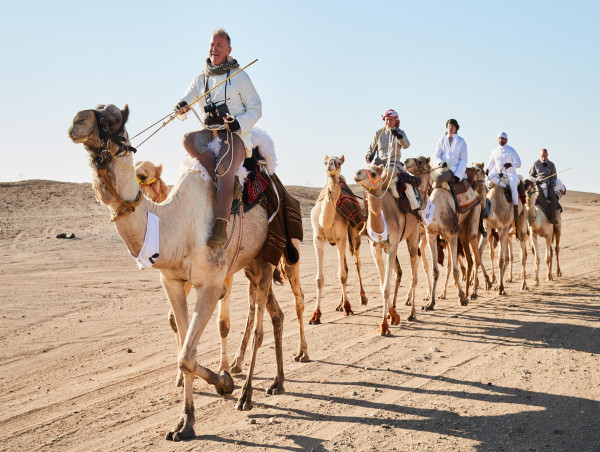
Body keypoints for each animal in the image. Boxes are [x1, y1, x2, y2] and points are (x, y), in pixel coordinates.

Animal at [68, 104, 300, 440]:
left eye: (111, 120)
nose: (76, 122)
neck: (171, 224)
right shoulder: (173, 282)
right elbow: (184, 351)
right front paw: (185, 421)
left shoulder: (212, 283)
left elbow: (188, 355)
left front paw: (224, 384)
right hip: (252, 264)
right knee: (276, 315)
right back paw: (277, 382)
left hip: (268, 257)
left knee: (259, 327)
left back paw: (246, 394)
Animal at [312, 156, 368, 324]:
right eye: (325, 162)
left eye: (338, 162)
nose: (330, 165)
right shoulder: (318, 238)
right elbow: (319, 279)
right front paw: (316, 315)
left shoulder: (341, 238)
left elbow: (342, 275)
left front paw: (348, 308)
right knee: (346, 267)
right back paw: (339, 304)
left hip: (354, 234)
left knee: (356, 263)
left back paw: (362, 298)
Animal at [354, 164, 420, 334]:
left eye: (373, 173)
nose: (357, 173)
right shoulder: (375, 248)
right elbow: (382, 284)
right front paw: (393, 315)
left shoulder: (392, 246)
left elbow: (386, 287)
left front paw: (384, 326)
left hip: (413, 237)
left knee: (414, 275)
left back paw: (413, 313)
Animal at [400, 154, 472, 308]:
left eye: (420, 161)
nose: (405, 161)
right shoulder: (431, 235)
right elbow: (434, 270)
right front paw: (430, 303)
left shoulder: (452, 234)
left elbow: (455, 270)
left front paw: (462, 298)